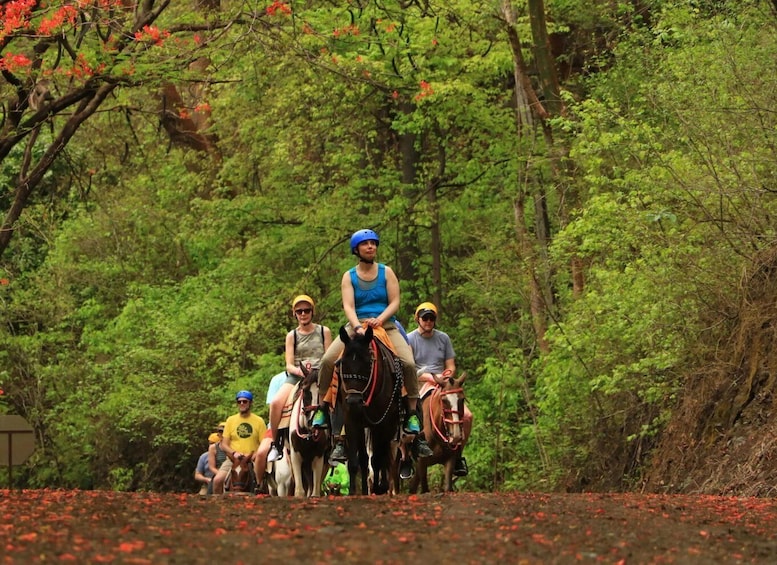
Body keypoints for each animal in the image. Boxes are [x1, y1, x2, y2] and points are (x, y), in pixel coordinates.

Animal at [336, 326, 404, 494]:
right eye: (342, 363)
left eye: (368, 363)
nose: (353, 400)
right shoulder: (353, 421)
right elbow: (357, 461)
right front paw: (355, 492)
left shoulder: (381, 423)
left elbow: (378, 459)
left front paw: (379, 487)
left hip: (388, 426)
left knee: (384, 455)